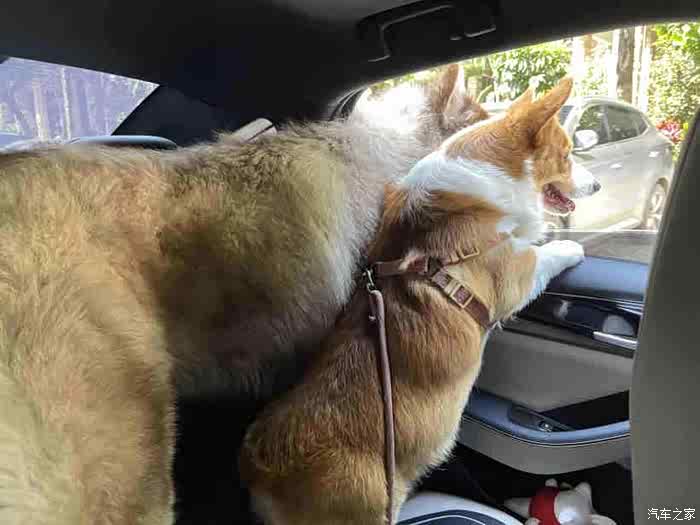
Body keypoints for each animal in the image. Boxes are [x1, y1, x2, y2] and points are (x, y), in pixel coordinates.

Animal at [239, 76, 601, 525]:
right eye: (566, 154)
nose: (598, 185)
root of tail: (263, 468)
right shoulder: (514, 272)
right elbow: (543, 252)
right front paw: (570, 246)